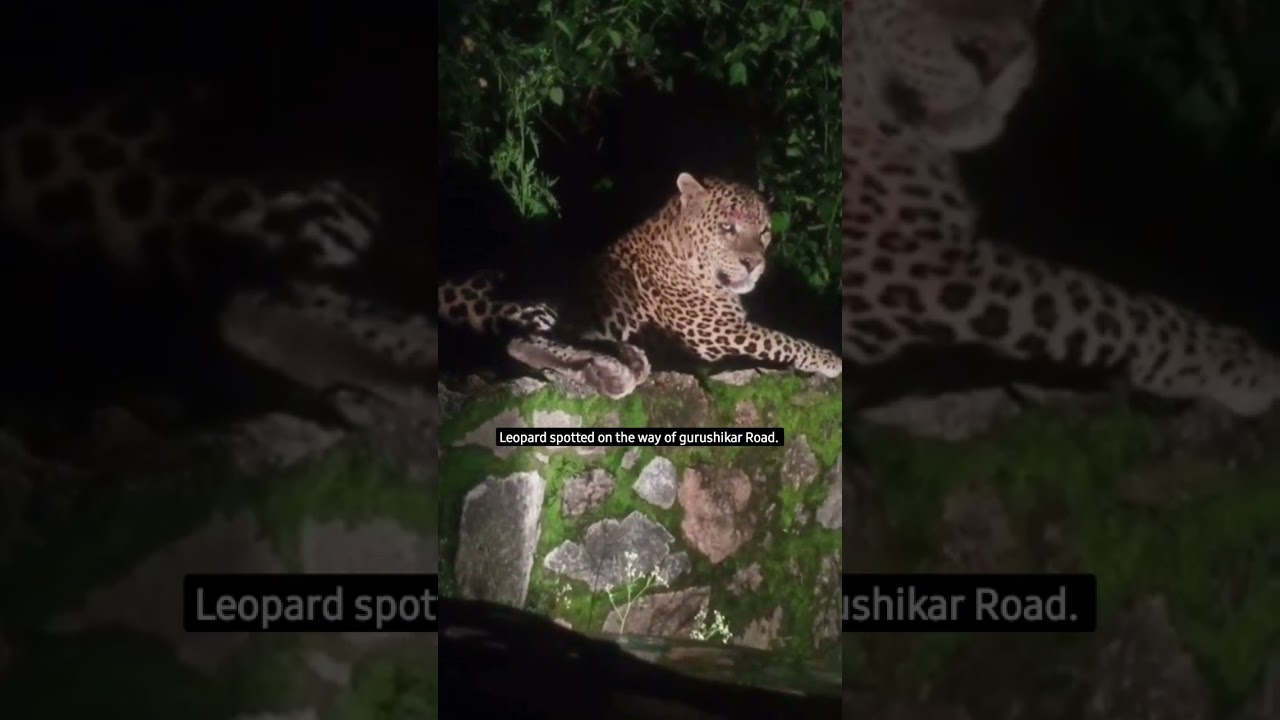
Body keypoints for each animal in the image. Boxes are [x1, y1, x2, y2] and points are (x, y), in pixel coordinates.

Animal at [438, 172, 843, 398]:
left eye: (764, 232)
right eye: (727, 227)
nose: (754, 264)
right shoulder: (720, 333)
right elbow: (782, 338)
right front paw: (829, 358)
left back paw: (624, 359)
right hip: (541, 295)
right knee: (520, 341)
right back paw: (612, 368)